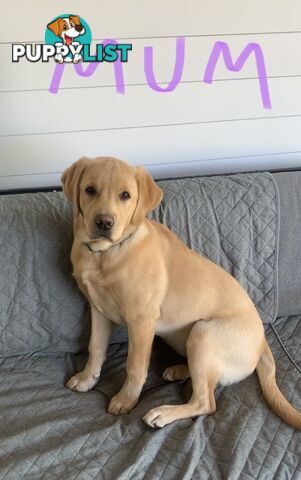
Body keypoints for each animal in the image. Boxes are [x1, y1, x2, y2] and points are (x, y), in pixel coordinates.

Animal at [62, 156, 300, 430]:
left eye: (125, 195)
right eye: (90, 190)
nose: (104, 222)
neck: (106, 253)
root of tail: (262, 343)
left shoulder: (141, 321)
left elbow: (135, 366)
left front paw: (125, 399)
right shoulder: (98, 310)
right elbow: (96, 349)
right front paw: (87, 379)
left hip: (203, 332)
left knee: (205, 401)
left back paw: (163, 413)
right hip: (183, 337)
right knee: (206, 379)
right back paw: (177, 370)